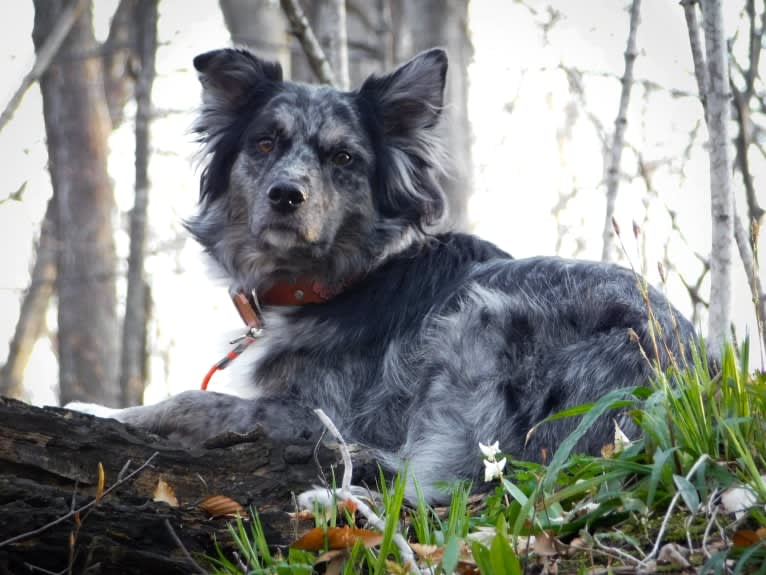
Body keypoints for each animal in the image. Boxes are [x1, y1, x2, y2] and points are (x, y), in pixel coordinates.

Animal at [72, 47, 704, 502]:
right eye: (265, 143)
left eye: (344, 158)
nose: (286, 196)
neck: (331, 281)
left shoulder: (312, 414)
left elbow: (188, 402)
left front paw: (98, 411)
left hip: (482, 320)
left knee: (441, 486)